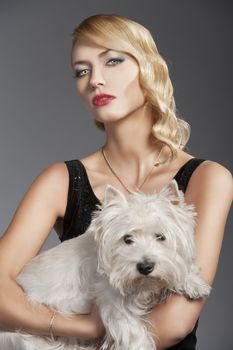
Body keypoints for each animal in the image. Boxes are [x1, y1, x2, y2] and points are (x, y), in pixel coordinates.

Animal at [0, 180, 211, 350]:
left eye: (160, 236)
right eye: (127, 239)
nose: (145, 267)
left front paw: (193, 283)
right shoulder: (114, 304)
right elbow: (134, 334)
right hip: (21, 337)